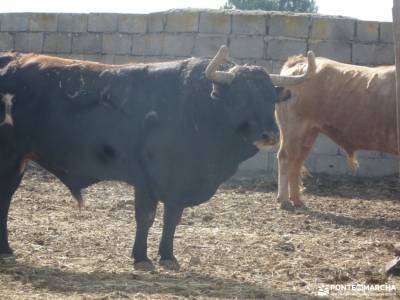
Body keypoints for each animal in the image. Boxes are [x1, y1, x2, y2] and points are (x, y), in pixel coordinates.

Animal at [0, 47, 280, 270]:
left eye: (272, 98)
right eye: (241, 97)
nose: (270, 135)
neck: (196, 108)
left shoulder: (177, 184)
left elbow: (172, 219)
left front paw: (167, 256)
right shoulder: (146, 179)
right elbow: (146, 217)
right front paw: (141, 258)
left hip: (19, 160)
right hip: (9, 156)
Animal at [272, 52, 396, 211]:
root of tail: (300, 61)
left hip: (308, 133)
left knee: (297, 161)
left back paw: (297, 200)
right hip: (294, 129)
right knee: (286, 158)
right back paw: (285, 200)